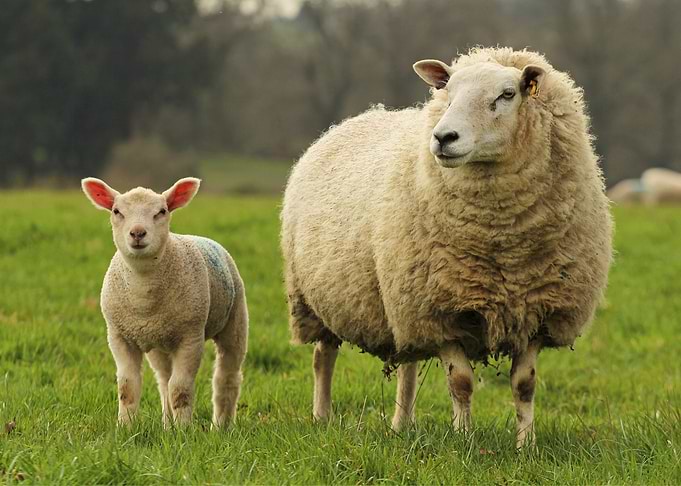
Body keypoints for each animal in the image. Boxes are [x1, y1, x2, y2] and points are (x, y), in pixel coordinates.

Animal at [82, 177, 248, 427]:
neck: (144, 295)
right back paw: (168, 426)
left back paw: (221, 426)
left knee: (226, 377)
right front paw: (126, 427)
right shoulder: (119, 336)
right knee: (163, 380)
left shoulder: (190, 337)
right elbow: (128, 388)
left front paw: (184, 430)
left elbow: (180, 390)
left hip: (235, 320)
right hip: (159, 344)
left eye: (162, 211)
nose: (137, 233)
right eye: (116, 211)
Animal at [281, 47, 613, 448]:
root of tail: (357, 118)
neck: (503, 245)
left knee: (407, 366)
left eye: (507, 94)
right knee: (322, 358)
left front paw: (526, 444)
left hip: (401, 303)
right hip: (317, 301)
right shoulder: (440, 310)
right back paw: (322, 417)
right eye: (448, 92)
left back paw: (401, 425)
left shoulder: (538, 313)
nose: (443, 137)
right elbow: (461, 382)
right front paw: (465, 440)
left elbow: (524, 385)